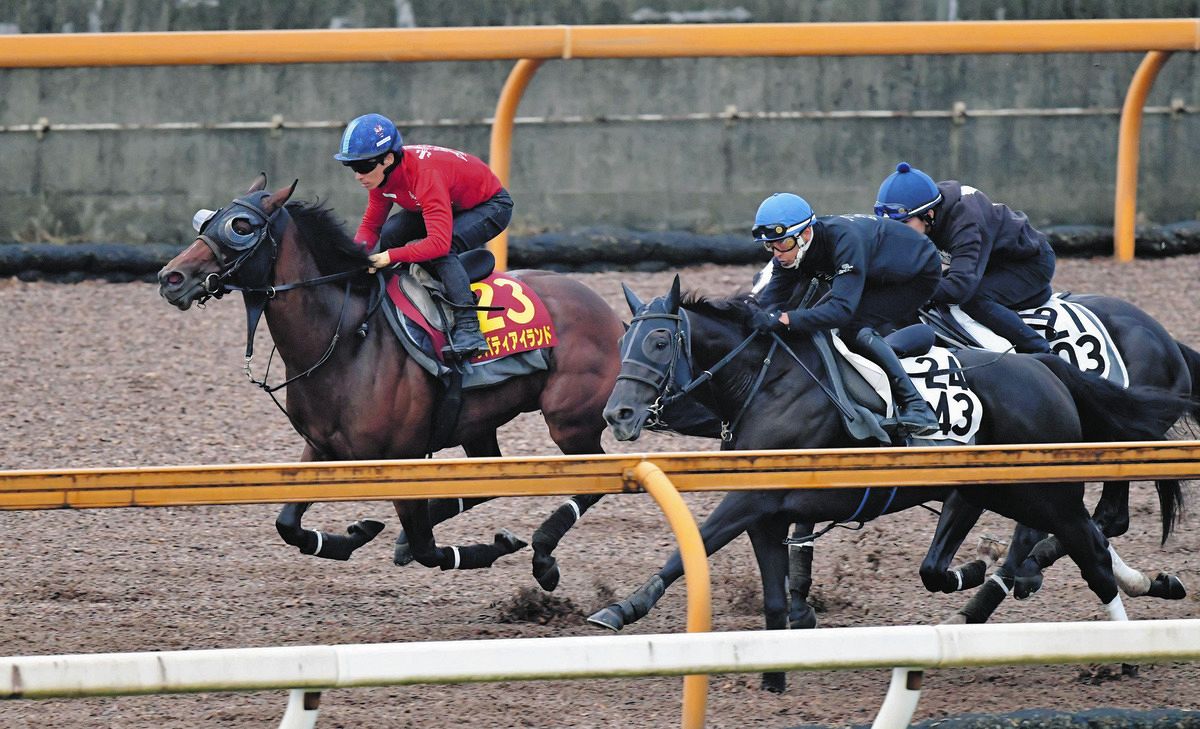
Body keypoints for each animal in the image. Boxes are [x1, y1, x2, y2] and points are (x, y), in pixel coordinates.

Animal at [157, 175, 619, 587]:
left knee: (595, 477)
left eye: (241, 228)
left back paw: (543, 554)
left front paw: (493, 547)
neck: (347, 339)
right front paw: (354, 534)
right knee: (490, 476)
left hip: (569, 421)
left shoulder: (405, 456)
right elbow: (287, 523)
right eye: (207, 220)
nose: (170, 278)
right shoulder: (320, 446)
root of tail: (611, 313)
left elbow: (428, 550)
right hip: (480, 424)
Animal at [590, 275, 1180, 690]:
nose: (618, 413)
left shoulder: (752, 500)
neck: (767, 381)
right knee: (1069, 541)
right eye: (621, 341)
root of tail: (1044, 367)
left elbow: (690, 547)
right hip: (990, 492)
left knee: (1092, 549)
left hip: (1046, 494)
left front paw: (621, 609)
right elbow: (774, 594)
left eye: (660, 340)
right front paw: (774, 672)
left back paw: (1124, 650)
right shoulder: (768, 511)